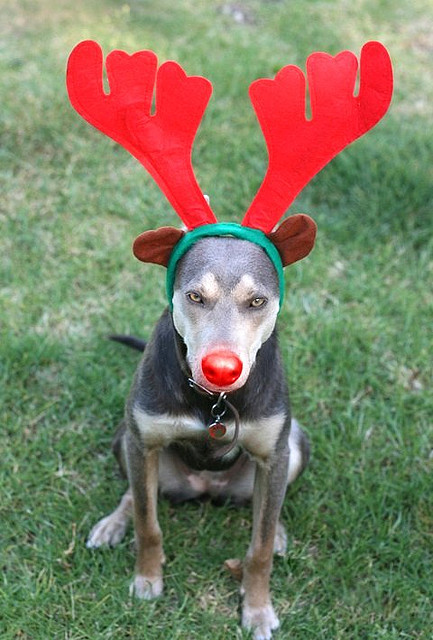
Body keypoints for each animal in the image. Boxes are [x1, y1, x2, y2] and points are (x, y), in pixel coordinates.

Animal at [87, 236, 310, 640]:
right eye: (195, 297)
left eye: (257, 301)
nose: (221, 369)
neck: (214, 402)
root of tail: (207, 488)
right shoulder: (142, 443)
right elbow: (147, 523)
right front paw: (147, 579)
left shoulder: (274, 455)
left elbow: (260, 548)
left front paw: (257, 610)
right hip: (124, 438)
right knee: (135, 493)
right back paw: (113, 524)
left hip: (296, 443)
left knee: (269, 507)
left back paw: (280, 531)